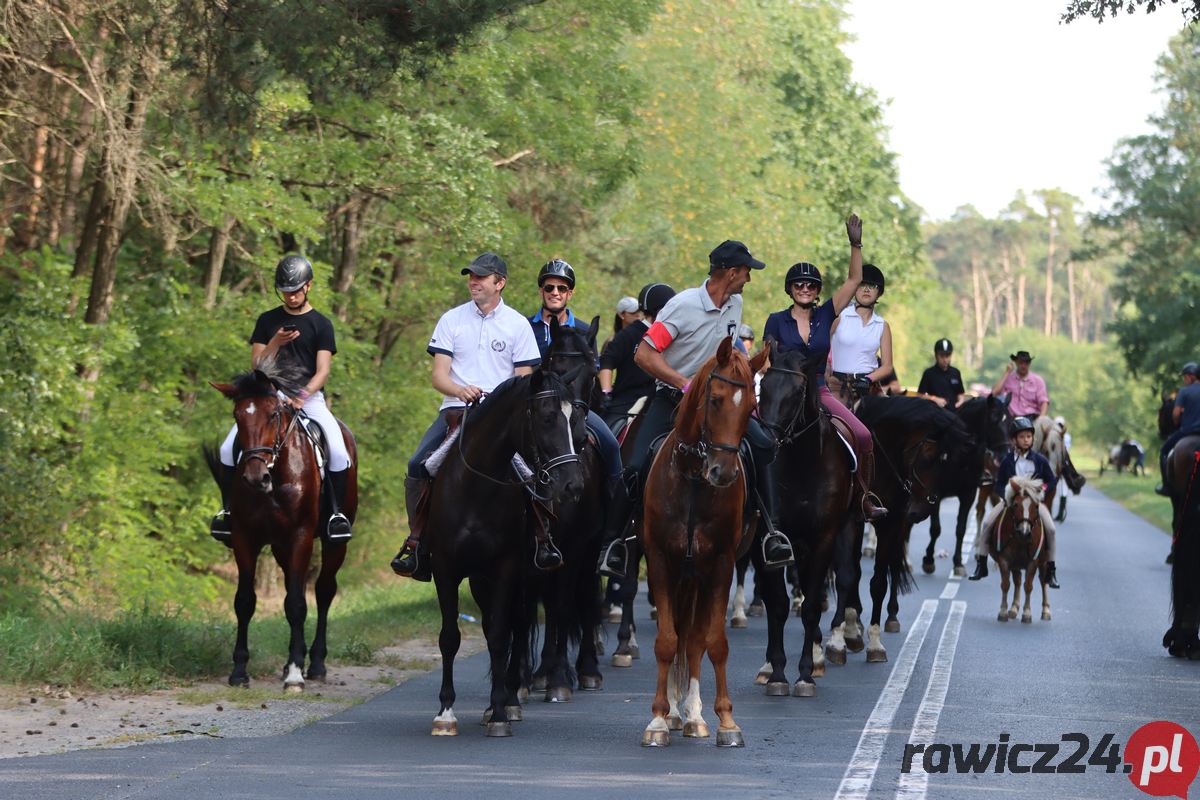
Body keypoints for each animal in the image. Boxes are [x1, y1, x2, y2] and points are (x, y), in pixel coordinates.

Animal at [208, 364, 355, 695]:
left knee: (323, 591)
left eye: (274, 414)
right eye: (237, 415)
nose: (255, 477)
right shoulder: (245, 538)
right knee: (293, 586)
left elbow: (297, 604)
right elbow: (245, 601)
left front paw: (296, 676)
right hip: (279, 547)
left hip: (334, 544)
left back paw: (315, 664)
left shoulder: (301, 536)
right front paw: (239, 671)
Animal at [427, 371, 585, 738]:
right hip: (480, 579)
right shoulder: (446, 570)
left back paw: (511, 699)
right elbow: (450, 638)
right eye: (547, 418)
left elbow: (501, 636)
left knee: (517, 624)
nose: (573, 484)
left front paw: (500, 712)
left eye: (576, 420)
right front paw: (445, 713)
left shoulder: (506, 569)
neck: (474, 489)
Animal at [638, 340, 768, 753]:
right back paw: (674, 714)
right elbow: (666, 641)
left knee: (693, 641)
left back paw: (693, 716)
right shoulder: (661, 562)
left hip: (695, 576)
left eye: (751, 406)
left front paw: (726, 721)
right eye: (715, 399)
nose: (723, 473)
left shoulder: (719, 565)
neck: (692, 479)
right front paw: (658, 720)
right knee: (678, 636)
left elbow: (713, 642)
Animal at [921, 398, 1008, 578]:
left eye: (1009, 420)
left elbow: (960, 529)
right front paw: (929, 560)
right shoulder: (935, 494)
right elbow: (935, 529)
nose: (1004, 454)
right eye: (993, 420)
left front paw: (958, 563)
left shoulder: (968, 494)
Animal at [993, 474, 1051, 623]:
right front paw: (1003, 611)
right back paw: (1014, 608)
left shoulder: (1033, 562)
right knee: (1017, 580)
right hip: (1016, 563)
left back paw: (1046, 610)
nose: (1024, 532)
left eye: (1036, 506)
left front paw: (1027, 613)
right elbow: (1006, 584)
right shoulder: (1005, 560)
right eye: (1015, 505)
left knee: (1043, 581)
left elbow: (1028, 586)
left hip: (1043, 562)